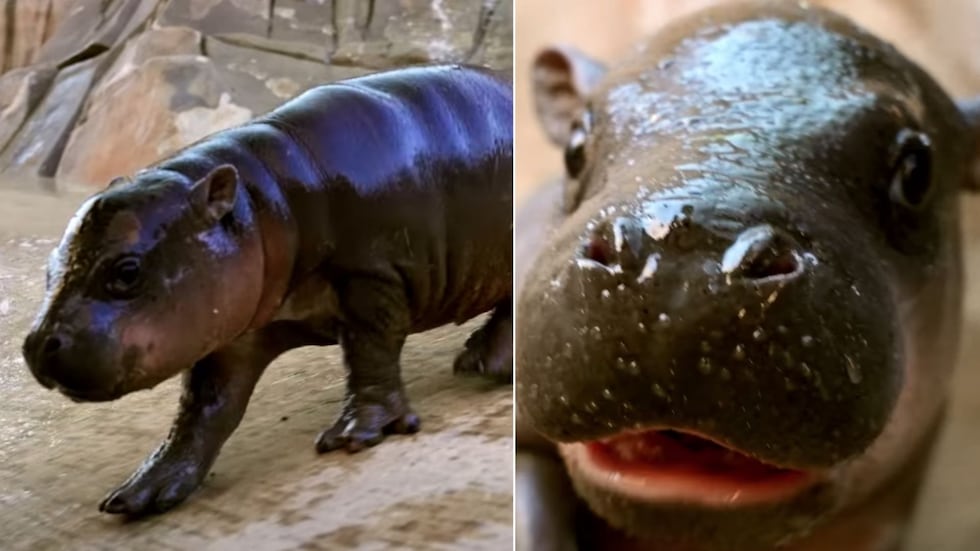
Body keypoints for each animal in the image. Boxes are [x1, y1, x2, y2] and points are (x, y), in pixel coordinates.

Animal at [21, 64, 513, 516]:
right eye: (48, 268)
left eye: (127, 271)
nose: (37, 345)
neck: (262, 203)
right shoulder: (234, 330)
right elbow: (206, 405)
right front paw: (142, 491)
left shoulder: (371, 275)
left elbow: (370, 353)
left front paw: (355, 435)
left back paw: (483, 365)